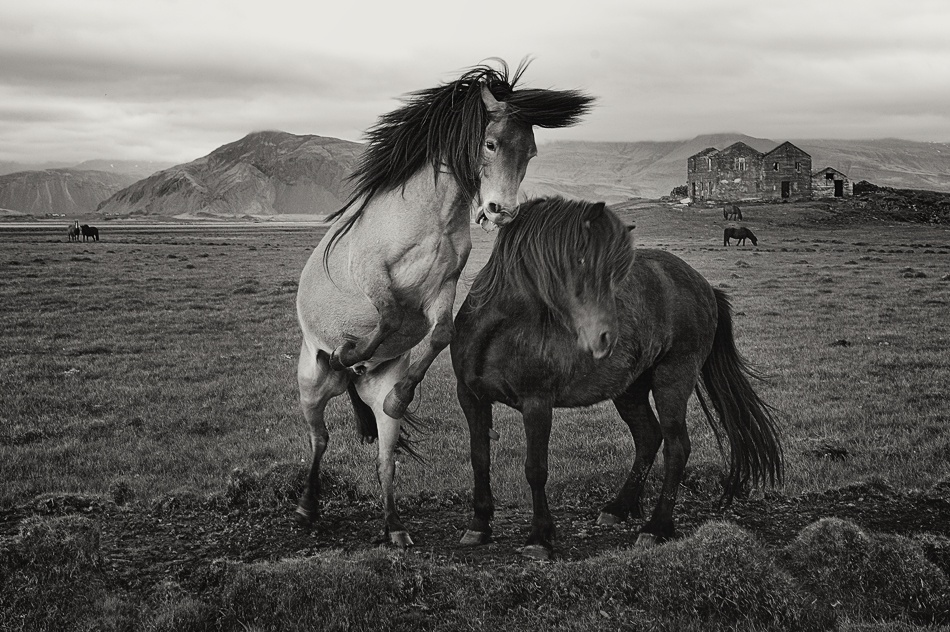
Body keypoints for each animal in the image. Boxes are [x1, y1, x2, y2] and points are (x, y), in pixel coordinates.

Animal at [296, 60, 596, 548]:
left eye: (530, 152)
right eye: (491, 143)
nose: (500, 211)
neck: (427, 216)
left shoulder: (443, 288)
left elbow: (439, 333)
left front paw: (402, 392)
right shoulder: (373, 275)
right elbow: (387, 317)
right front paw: (348, 350)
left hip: (374, 401)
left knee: (385, 459)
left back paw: (395, 527)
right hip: (311, 386)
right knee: (319, 439)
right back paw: (307, 505)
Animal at [452, 196, 780, 556]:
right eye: (581, 261)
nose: (606, 337)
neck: (501, 328)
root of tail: (704, 286)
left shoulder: (536, 404)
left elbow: (535, 469)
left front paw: (539, 537)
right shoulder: (471, 398)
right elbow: (479, 460)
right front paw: (478, 525)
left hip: (673, 379)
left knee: (676, 446)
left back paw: (656, 527)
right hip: (629, 389)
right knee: (649, 437)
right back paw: (618, 508)